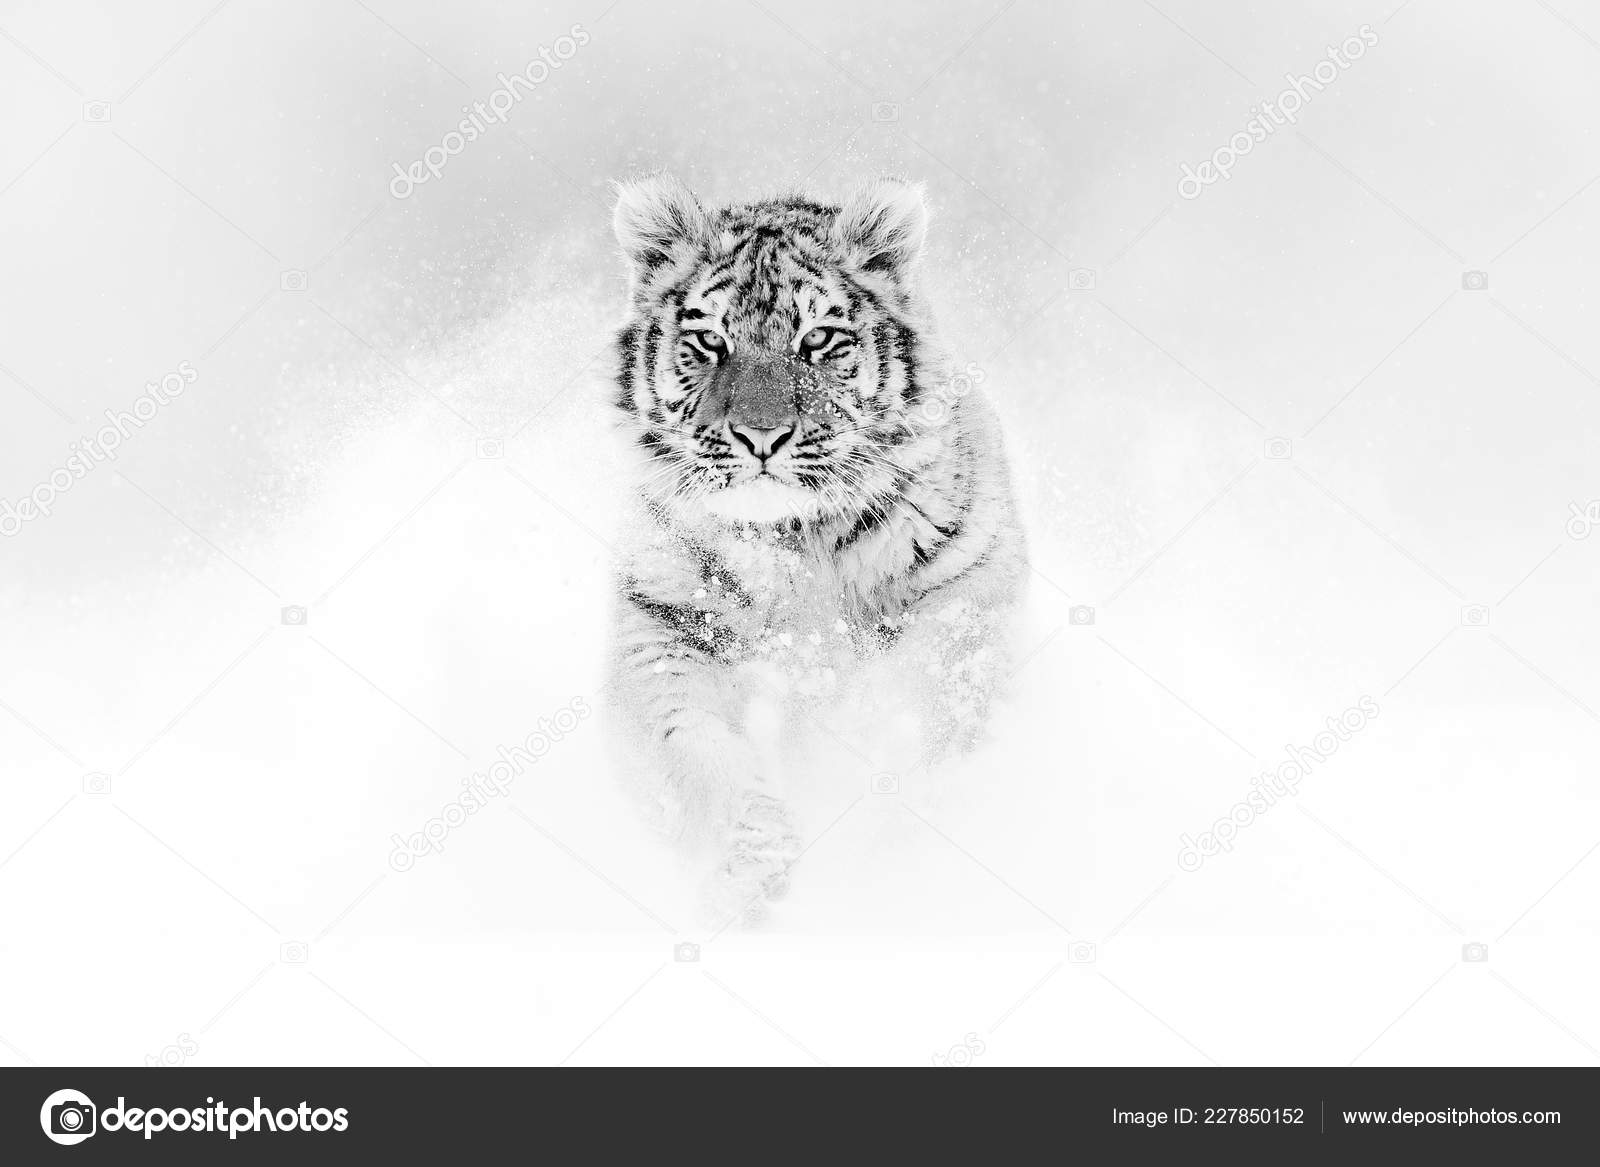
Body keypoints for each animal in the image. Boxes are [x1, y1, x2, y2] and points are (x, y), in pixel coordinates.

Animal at [604, 173, 1027, 924]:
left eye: (819, 339)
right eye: (708, 340)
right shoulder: (663, 626)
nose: (759, 436)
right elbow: (692, 745)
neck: (794, 542)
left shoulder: (968, 589)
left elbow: (934, 706)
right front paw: (751, 862)